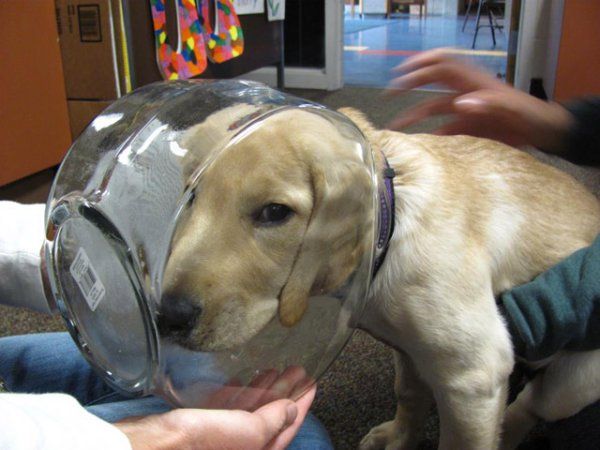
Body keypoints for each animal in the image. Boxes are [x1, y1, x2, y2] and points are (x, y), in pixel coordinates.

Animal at [162, 103, 600, 448]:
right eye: (191, 195)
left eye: (274, 212)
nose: (169, 316)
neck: (391, 225)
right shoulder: (407, 349)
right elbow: (409, 392)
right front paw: (400, 437)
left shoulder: (473, 377)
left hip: (574, 380)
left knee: (532, 405)